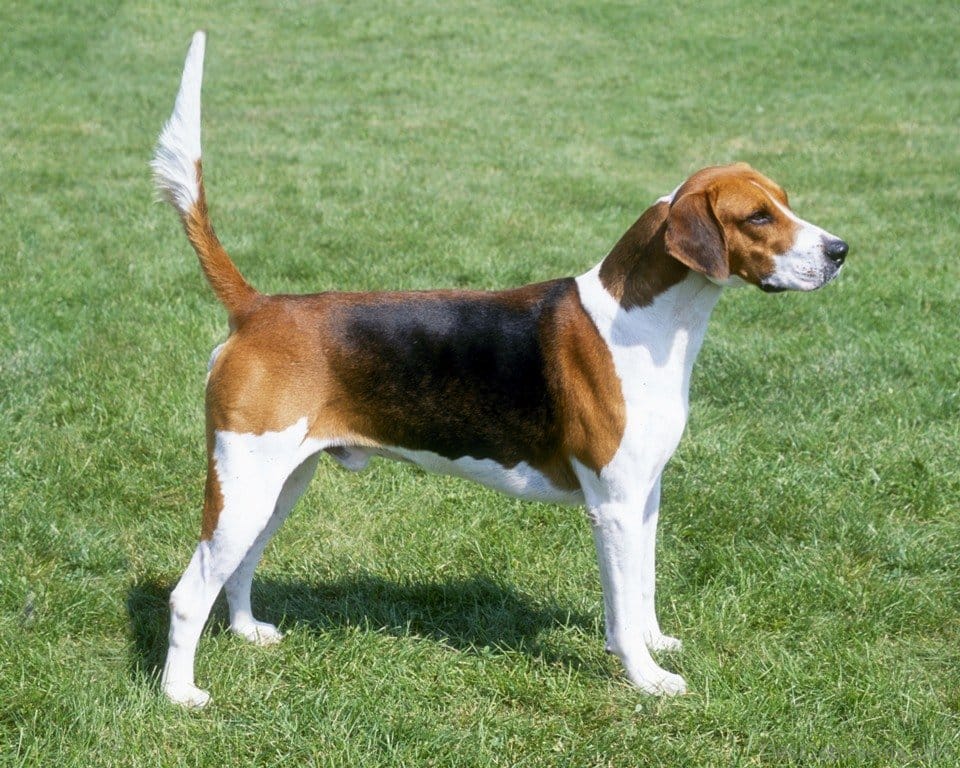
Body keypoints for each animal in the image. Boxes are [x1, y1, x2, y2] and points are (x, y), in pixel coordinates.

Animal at [152, 34, 848, 708]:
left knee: (239, 568)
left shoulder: (647, 493)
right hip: (245, 484)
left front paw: (658, 645)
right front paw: (646, 679)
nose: (841, 250)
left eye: (786, 203)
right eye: (757, 217)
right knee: (189, 594)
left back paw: (247, 631)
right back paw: (179, 693)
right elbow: (621, 611)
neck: (644, 323)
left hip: (281, 483)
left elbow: (644, 589)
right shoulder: (615, 506)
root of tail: (257, 308)